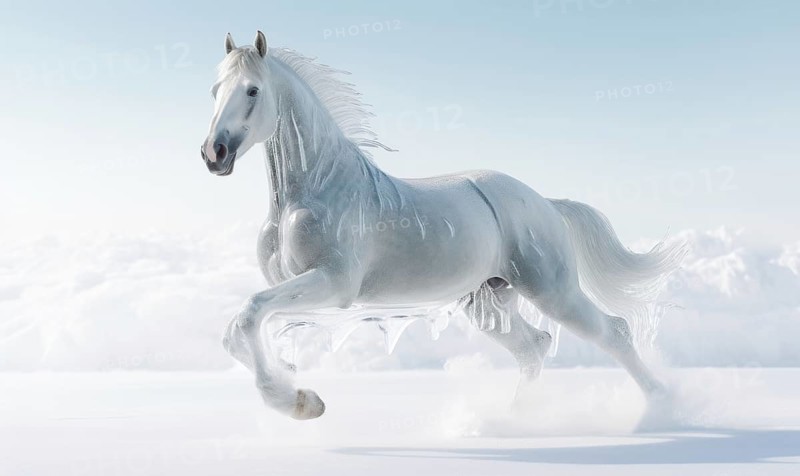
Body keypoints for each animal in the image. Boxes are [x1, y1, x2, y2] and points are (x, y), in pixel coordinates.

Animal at [200, 31, 686, 420]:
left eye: (252, 90)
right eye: (215, 90)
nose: (213, 153)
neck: (315, 188)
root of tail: (546, 203)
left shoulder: (335, 284)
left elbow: (249, 314)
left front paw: (300, 403)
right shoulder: (303, 291)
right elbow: (237, 330)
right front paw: (296, 386)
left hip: (553, 290)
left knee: (613, 332)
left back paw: (663, 407)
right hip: (489, 301)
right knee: (535, 347)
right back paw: (510, 422)